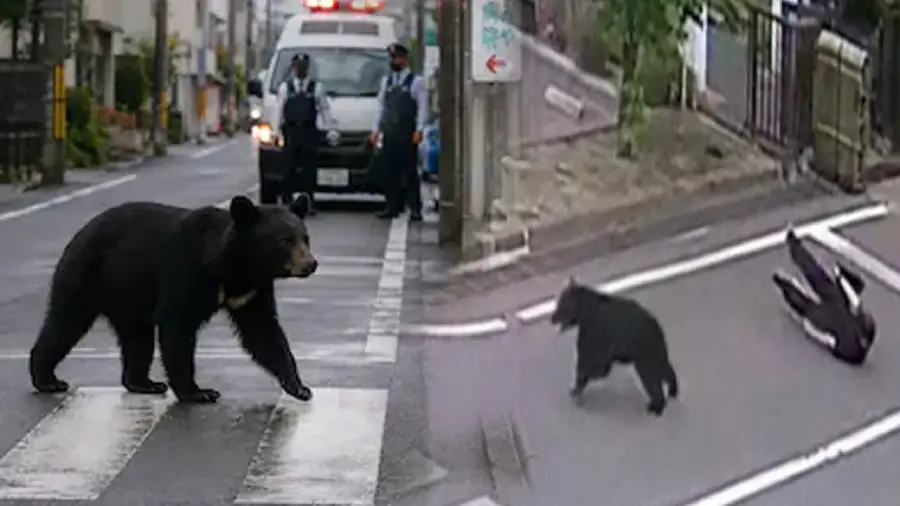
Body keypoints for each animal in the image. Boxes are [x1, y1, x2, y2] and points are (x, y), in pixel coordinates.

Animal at [28, 194, 318, 404]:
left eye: (305, 238)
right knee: (65, 322)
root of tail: (79, 233)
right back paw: (47, 379)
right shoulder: (186, 272)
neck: (232, 268)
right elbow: (178, 326)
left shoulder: (253, 291)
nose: (310, 264)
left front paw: (299, 386)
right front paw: (198, 392)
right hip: (86, 275)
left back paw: (144, 383)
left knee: (137, 339)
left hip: (129, 294)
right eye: (284, 240)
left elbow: (264, 332)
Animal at [550, 276, 679, 416]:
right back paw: (672, 391)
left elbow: (591, 361)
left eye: (561, 304)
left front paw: (576, 388)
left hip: (645, 354)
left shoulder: (596, 331)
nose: (552, 318)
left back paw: (655, 407)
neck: (586, 311)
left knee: (650, 378)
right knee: (664, 369)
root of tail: (657, 328)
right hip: (654, 352)